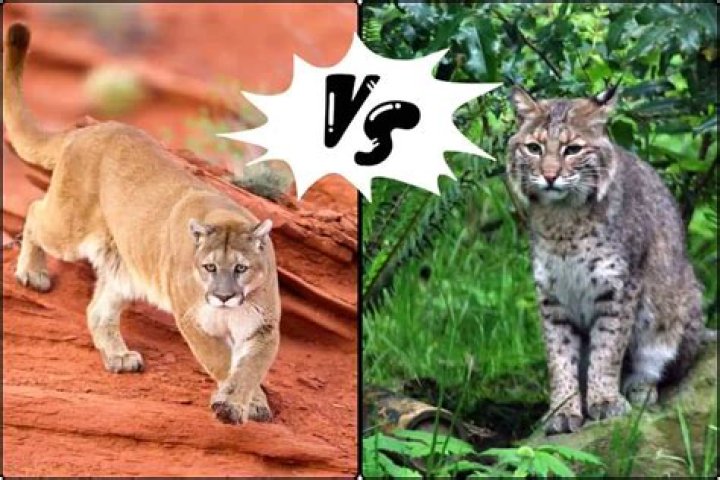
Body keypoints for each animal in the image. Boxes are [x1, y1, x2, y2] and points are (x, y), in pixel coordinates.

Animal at [3, 23, 281, 424]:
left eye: (241, 268)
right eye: (209, 267)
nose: (224, 296)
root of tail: (87, 130)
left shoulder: (263, 326)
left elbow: (250, 367)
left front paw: (248, 401)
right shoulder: (193, 320)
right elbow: (221, 362)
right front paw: (230, 404)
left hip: (124, 269)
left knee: (97, 310)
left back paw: (119, 357)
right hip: (69, 227)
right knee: (35, 210)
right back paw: (32, 274)